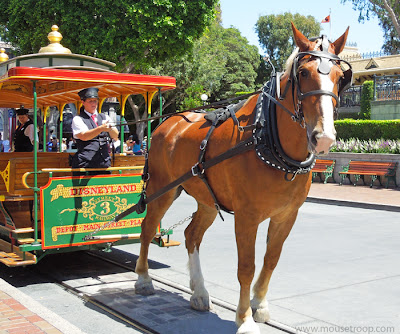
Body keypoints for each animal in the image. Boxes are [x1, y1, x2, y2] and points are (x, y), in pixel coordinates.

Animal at [134, 24, 350, 334]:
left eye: (340, 77)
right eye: (304, 72)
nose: (323, 137)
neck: (268, 139)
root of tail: (167, 123)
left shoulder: (287, 215)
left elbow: (271, 259)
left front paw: (259, 304)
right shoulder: (247, 216)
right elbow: (246, 267)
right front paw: (245, 318)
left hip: (207, 201)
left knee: (192, 235)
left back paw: (199, 292)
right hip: (162, 189)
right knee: (148, 228)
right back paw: (143, 279)